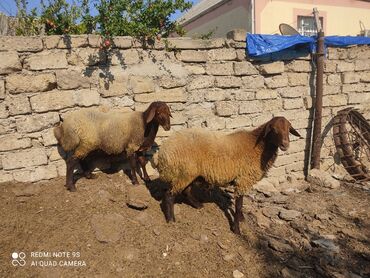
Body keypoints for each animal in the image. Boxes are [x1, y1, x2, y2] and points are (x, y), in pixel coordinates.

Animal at [156, 116, 300, 233]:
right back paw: (171, 219)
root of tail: (163, 151)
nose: (285, 145)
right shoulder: (243, 180)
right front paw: (236, 229)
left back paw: (198, 205)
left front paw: (241, 218)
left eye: (289, 128)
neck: (258, 147)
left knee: (186, 191)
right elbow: (239, 204)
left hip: (189, 173)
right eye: (273, 129)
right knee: (169, 195)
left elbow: (239, 204)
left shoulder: (243, 181)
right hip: (184, 172)